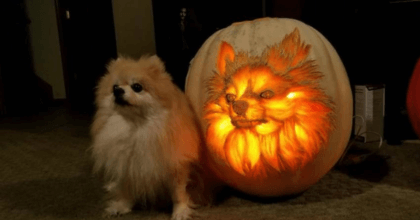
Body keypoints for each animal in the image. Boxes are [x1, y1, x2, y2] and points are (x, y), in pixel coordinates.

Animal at [91, 55, 203, 220]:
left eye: (137, 87)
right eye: (114, 87)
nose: (118, 91)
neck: (136, 128)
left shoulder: (176, 166)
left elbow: (178, 193)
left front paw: (181, 211)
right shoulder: (127, 165)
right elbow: (126, 188)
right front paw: (121, 205)